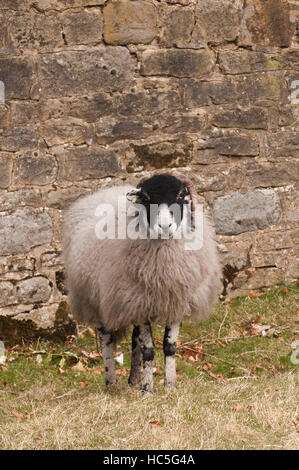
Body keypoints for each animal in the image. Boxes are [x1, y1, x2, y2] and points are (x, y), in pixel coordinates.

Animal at [62, 173, 223, 392]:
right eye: (146, 198)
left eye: (181, 196)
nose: (165, 226)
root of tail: (105, 191)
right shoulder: (136, 301)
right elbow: (148, 349)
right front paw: (147, 390)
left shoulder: (175, 300)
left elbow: (169, 347)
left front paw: (170, 386)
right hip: (95, 298)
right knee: (106, 340)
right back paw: (112, 382)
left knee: (133, 340)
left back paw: (133, 379)